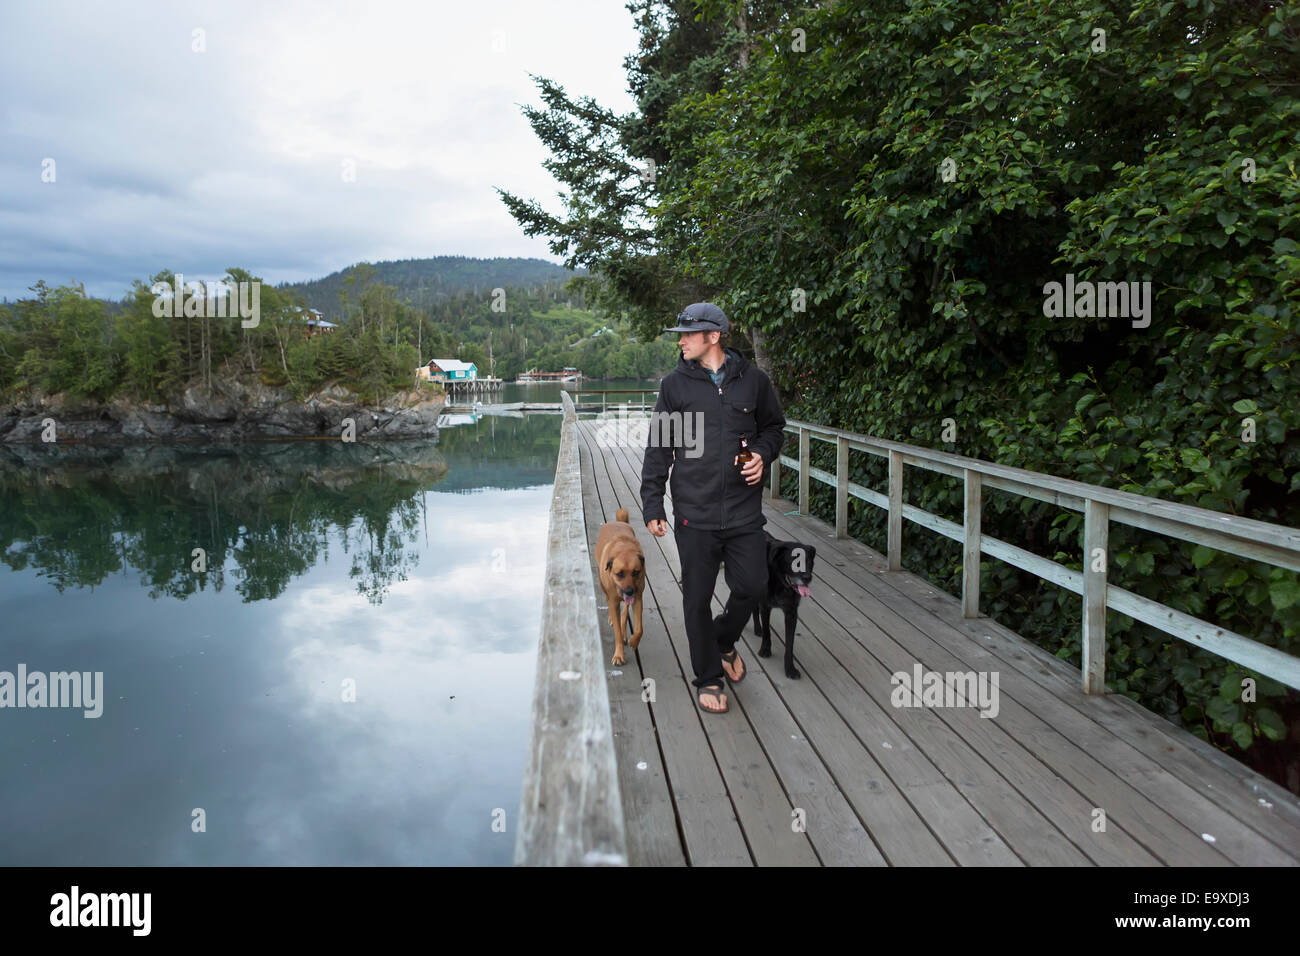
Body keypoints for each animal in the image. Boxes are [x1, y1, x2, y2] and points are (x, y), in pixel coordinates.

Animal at [595, 509, 644, 665]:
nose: (629, 591)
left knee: (624, 610)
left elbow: (639, 628)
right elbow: (616, 631)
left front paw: (634, 641)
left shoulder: (638, 598)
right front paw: (618, 655)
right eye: (619, 574)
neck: (624, 549)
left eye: (635, 572)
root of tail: (618, 521)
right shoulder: (614, 599)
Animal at [754, 530, 811, 681]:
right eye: (794, 561)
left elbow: (790, 644)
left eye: (809, 561)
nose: (808, 578)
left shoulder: (791, 613)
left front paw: (790, 668)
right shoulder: (765, 607)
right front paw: (765, 649)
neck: (781, 583)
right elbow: (767, 632)